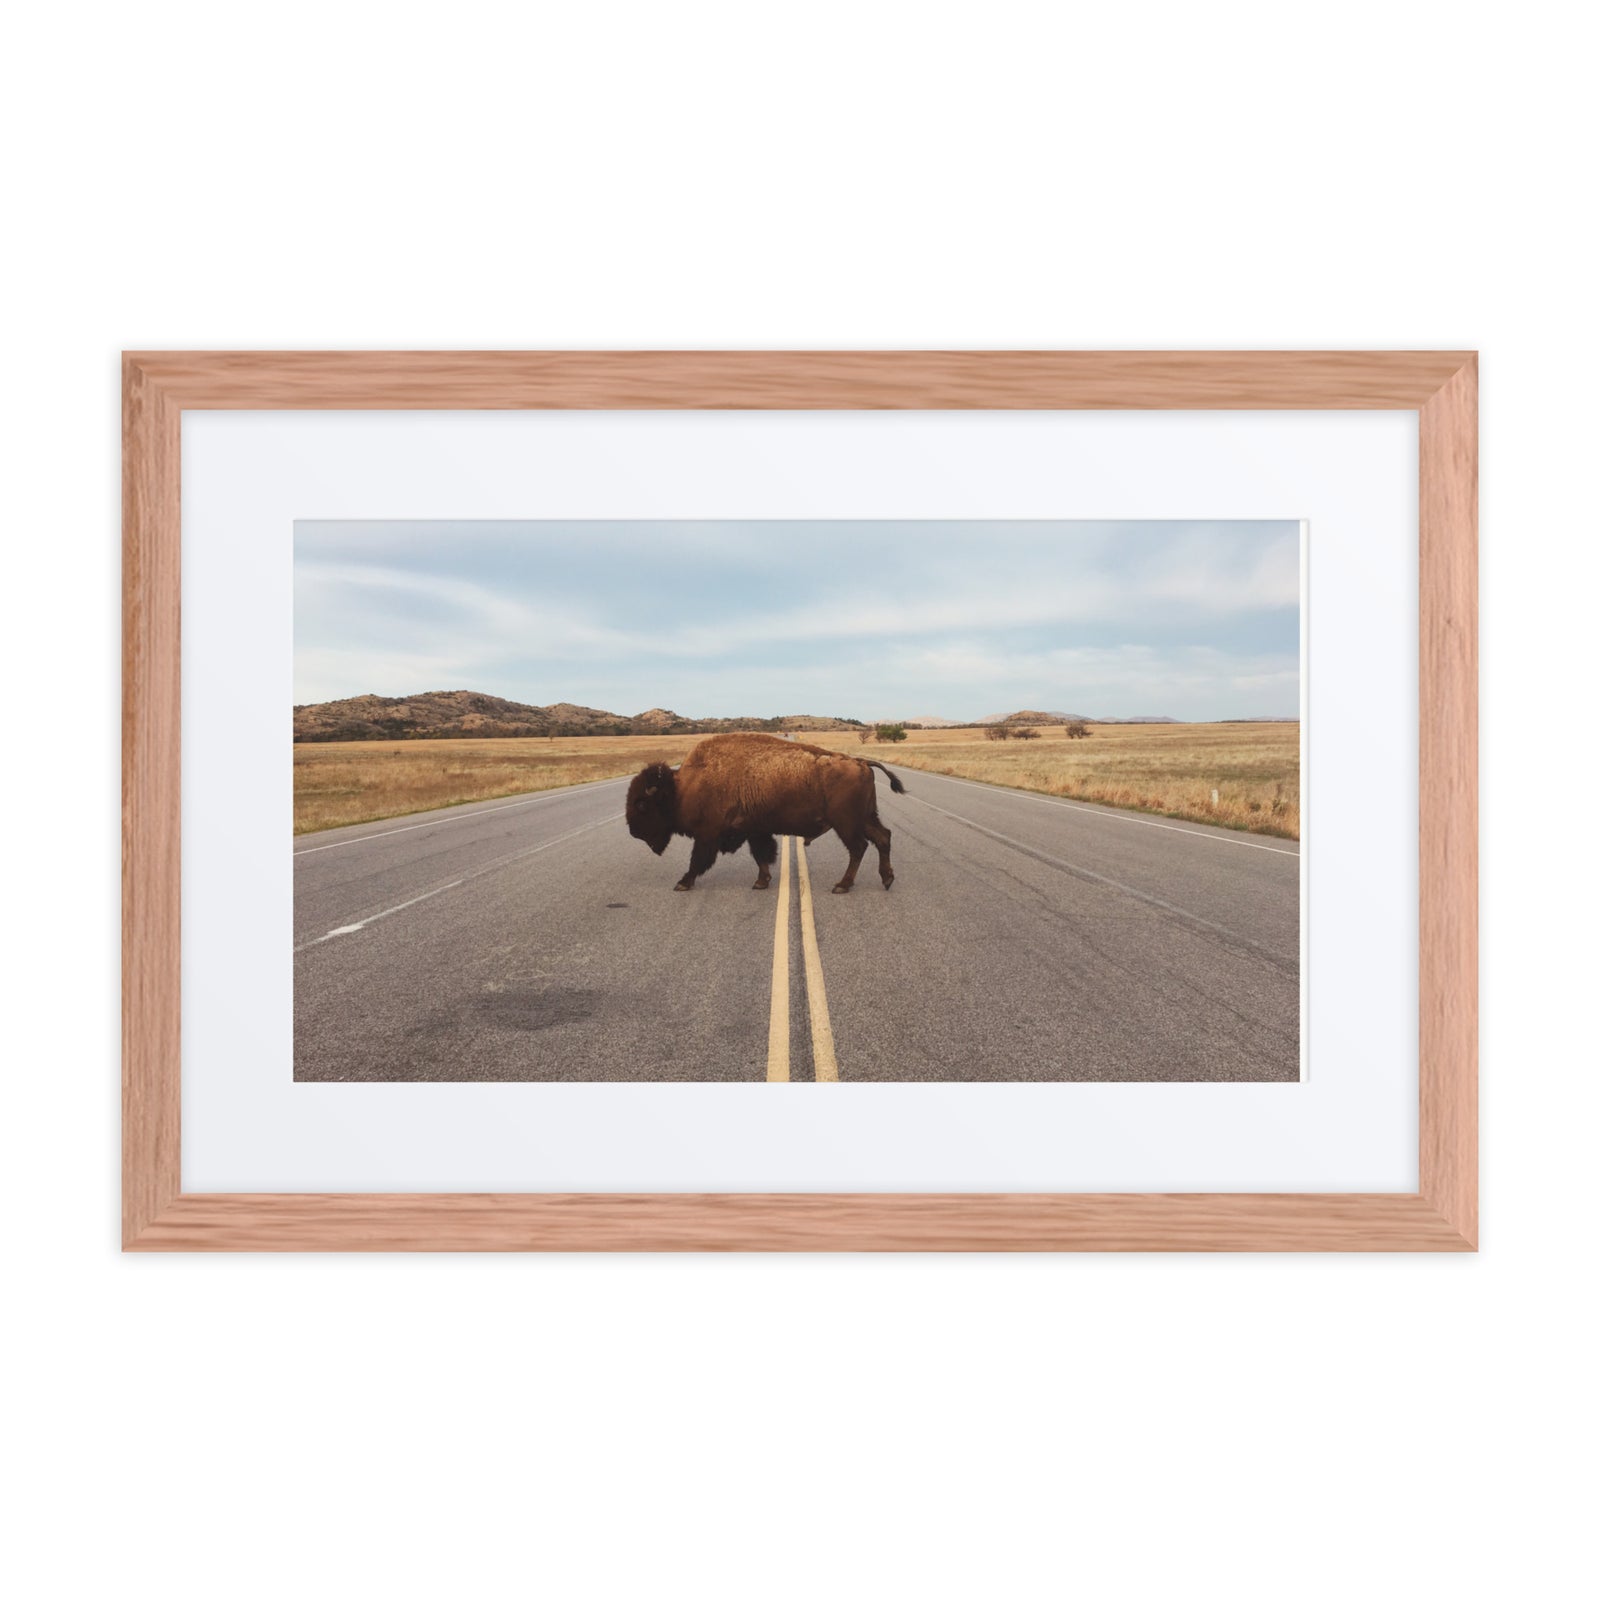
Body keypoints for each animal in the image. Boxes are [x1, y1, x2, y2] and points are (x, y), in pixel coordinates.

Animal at [624, 733, 905, 894]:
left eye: (641, 805)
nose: (634, 832)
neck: (683, 787)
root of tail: (861, 762)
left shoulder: (708, 835)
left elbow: (697, 861)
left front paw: (682, 883)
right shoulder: (754, 830)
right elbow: (761, 855)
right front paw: (761, 882)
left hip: (846, 824)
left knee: (859, 848)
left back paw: (842, 886)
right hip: (865, 818)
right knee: (883, 838)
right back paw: (887, 879)